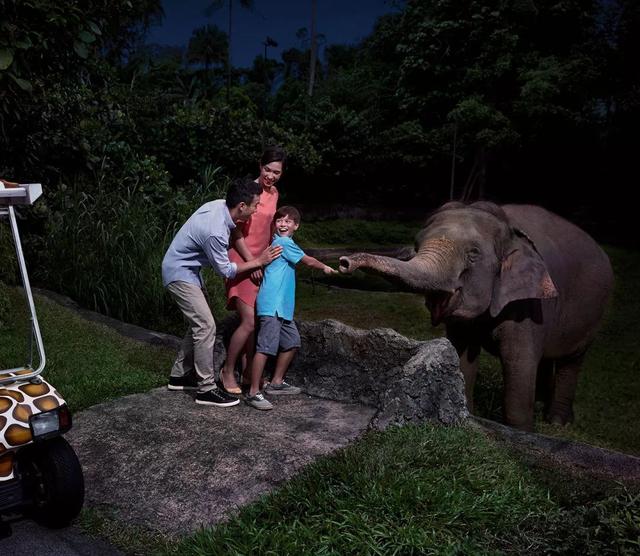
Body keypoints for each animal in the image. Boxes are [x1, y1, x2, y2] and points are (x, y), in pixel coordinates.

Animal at [340, 200, 616, 430]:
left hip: (594, 312)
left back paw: (558, 422)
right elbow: (460, 355)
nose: (344, 262)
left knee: (572, 361)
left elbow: (520, 363)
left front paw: (522, 431)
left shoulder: (528, 304)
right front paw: (466, 415)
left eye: (473, 254)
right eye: (416, 245)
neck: (508, 229)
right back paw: (540, 404)